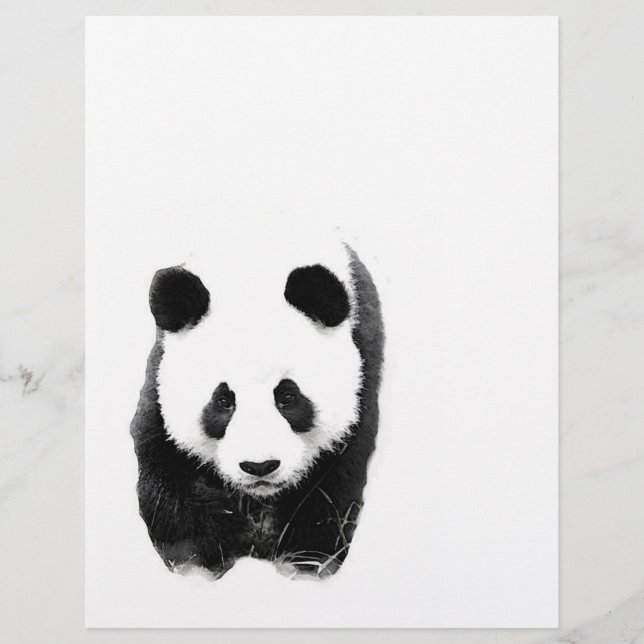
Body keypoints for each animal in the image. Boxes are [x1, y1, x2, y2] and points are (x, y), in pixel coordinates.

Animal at [130, 231, 384, 579]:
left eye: (288, 397)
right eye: (223, 401)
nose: (260, 466)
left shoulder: (362, 379)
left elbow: (331, 490)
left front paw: (300, 560)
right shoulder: (159, 386)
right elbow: (167, 483)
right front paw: (218, 545)